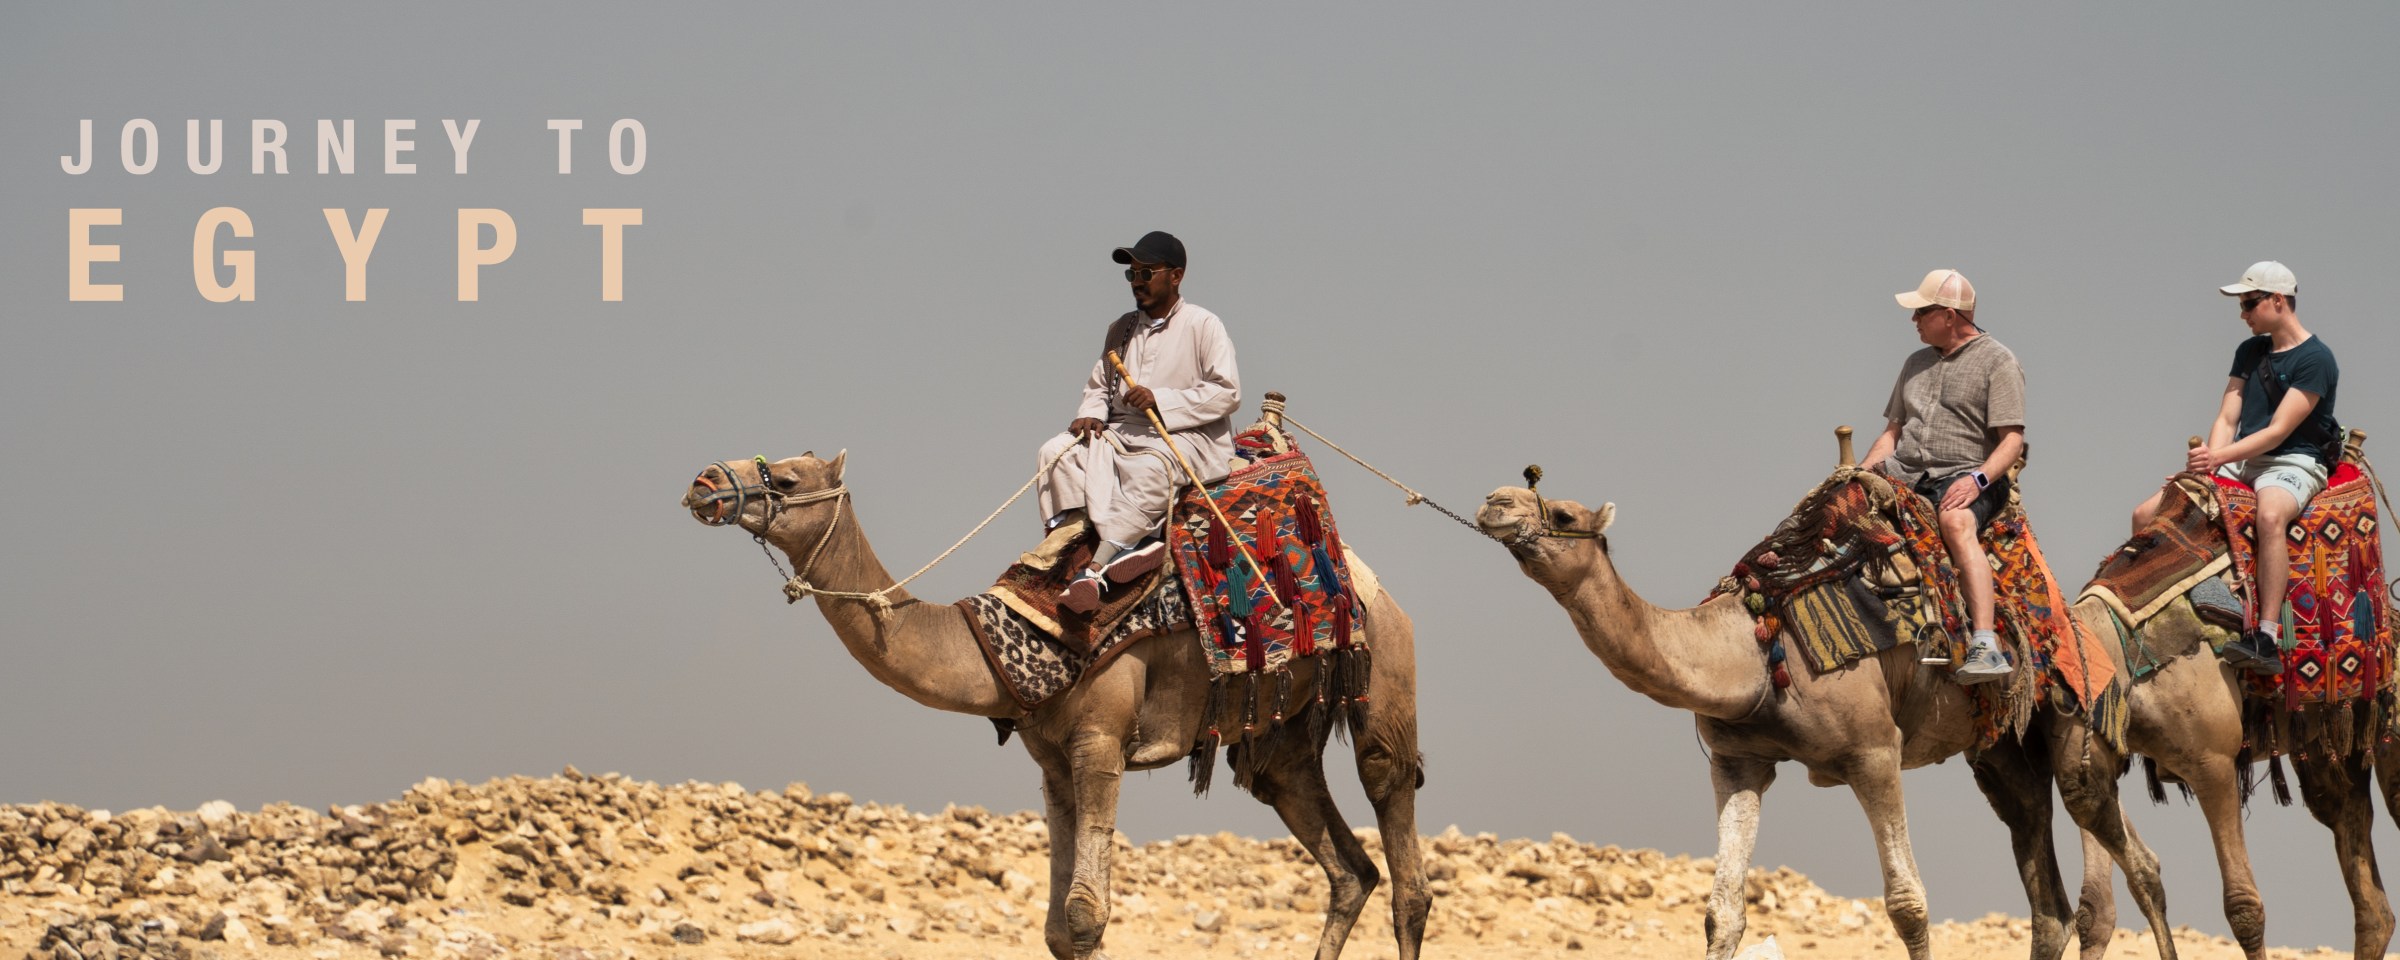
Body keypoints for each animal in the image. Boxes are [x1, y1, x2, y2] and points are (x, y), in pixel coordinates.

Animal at [680, 451, 1429, 960]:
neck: (1010, 640)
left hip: (1385, 672)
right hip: (1283, 734)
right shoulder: (1050, 760)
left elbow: (1085, 912)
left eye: (784, 478)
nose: (704, 482)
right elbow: (1056, 928)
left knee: (1399, 840)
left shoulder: (1100, 741)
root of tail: (1373, 585)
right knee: (1343, 862)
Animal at [1475, 479, 2175, 960]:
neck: (1752, 652)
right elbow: (1723, 910)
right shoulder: (1739, 761)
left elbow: (1907, 904)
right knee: (2048, 889)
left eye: (1563, 513)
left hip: (2076, 723)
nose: (1493, 501)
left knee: (2133, 858)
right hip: (2002, 750)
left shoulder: (1874, 752)